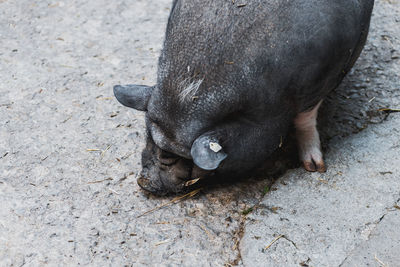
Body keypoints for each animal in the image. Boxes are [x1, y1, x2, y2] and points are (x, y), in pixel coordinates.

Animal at [113, 1, 376, 196]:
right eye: (148, 136)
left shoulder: (319, 81)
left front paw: (315, 168)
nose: (144, 183)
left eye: (184, 158)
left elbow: (305, 120)